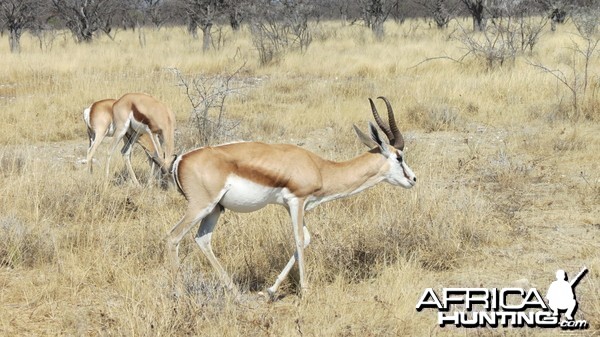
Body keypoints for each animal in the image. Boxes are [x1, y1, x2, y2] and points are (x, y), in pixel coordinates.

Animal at [166, 96, 414, 296]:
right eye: (399, 157)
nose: (413, 179)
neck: (321, 168)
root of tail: (181, 160)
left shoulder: (292, 205)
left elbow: (306, 239)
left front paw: (270, 290)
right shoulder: (297, 201)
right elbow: (298, 238)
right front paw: (305, 290)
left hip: (215, 209)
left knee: (202, 239)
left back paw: (236, 293)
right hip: (201, 206)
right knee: (173, 236)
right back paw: (180, 294)